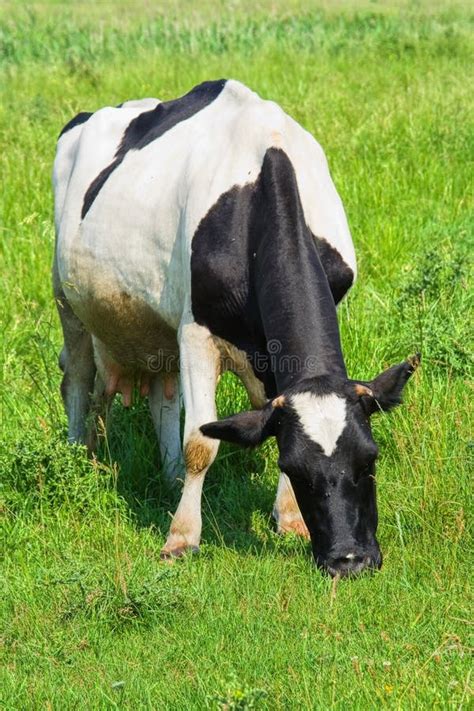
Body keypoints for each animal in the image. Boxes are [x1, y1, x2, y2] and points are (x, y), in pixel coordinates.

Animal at [53, 79, 420, 580]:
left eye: (370, 459)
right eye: (299, 469)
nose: (350, 560)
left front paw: (288, 520)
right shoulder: (196, 331)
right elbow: (200, 441)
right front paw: (181, 539)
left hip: (158, 327)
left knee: (162, 395)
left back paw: (170, 478)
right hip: (67, 299)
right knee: (77, 379)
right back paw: (79, 460)